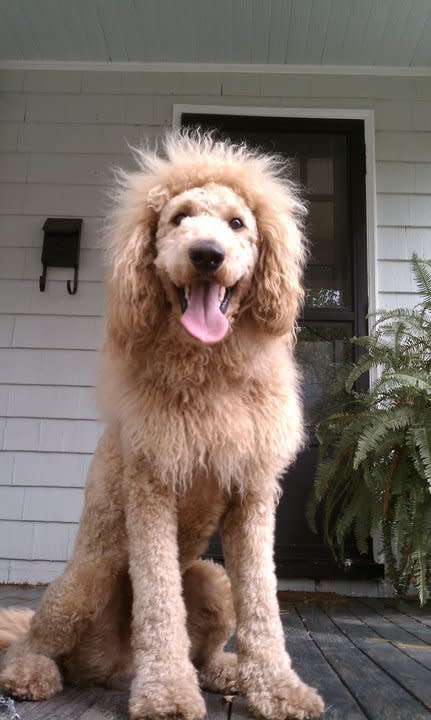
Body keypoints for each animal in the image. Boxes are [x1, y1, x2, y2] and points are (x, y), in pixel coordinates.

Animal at [0, 131, 324, 720]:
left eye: (238, 223)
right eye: (179, 218)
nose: (207, 255)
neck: (210, 373)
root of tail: (114, 668)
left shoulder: (252, 494)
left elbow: (263, 603)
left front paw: (278, 689)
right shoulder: (151, 487)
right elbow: (158, 602)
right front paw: (169, 693)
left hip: (211, 577)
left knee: (207, 639)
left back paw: (223, 670)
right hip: (88, 577)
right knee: (31, 637)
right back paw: (31, 673)